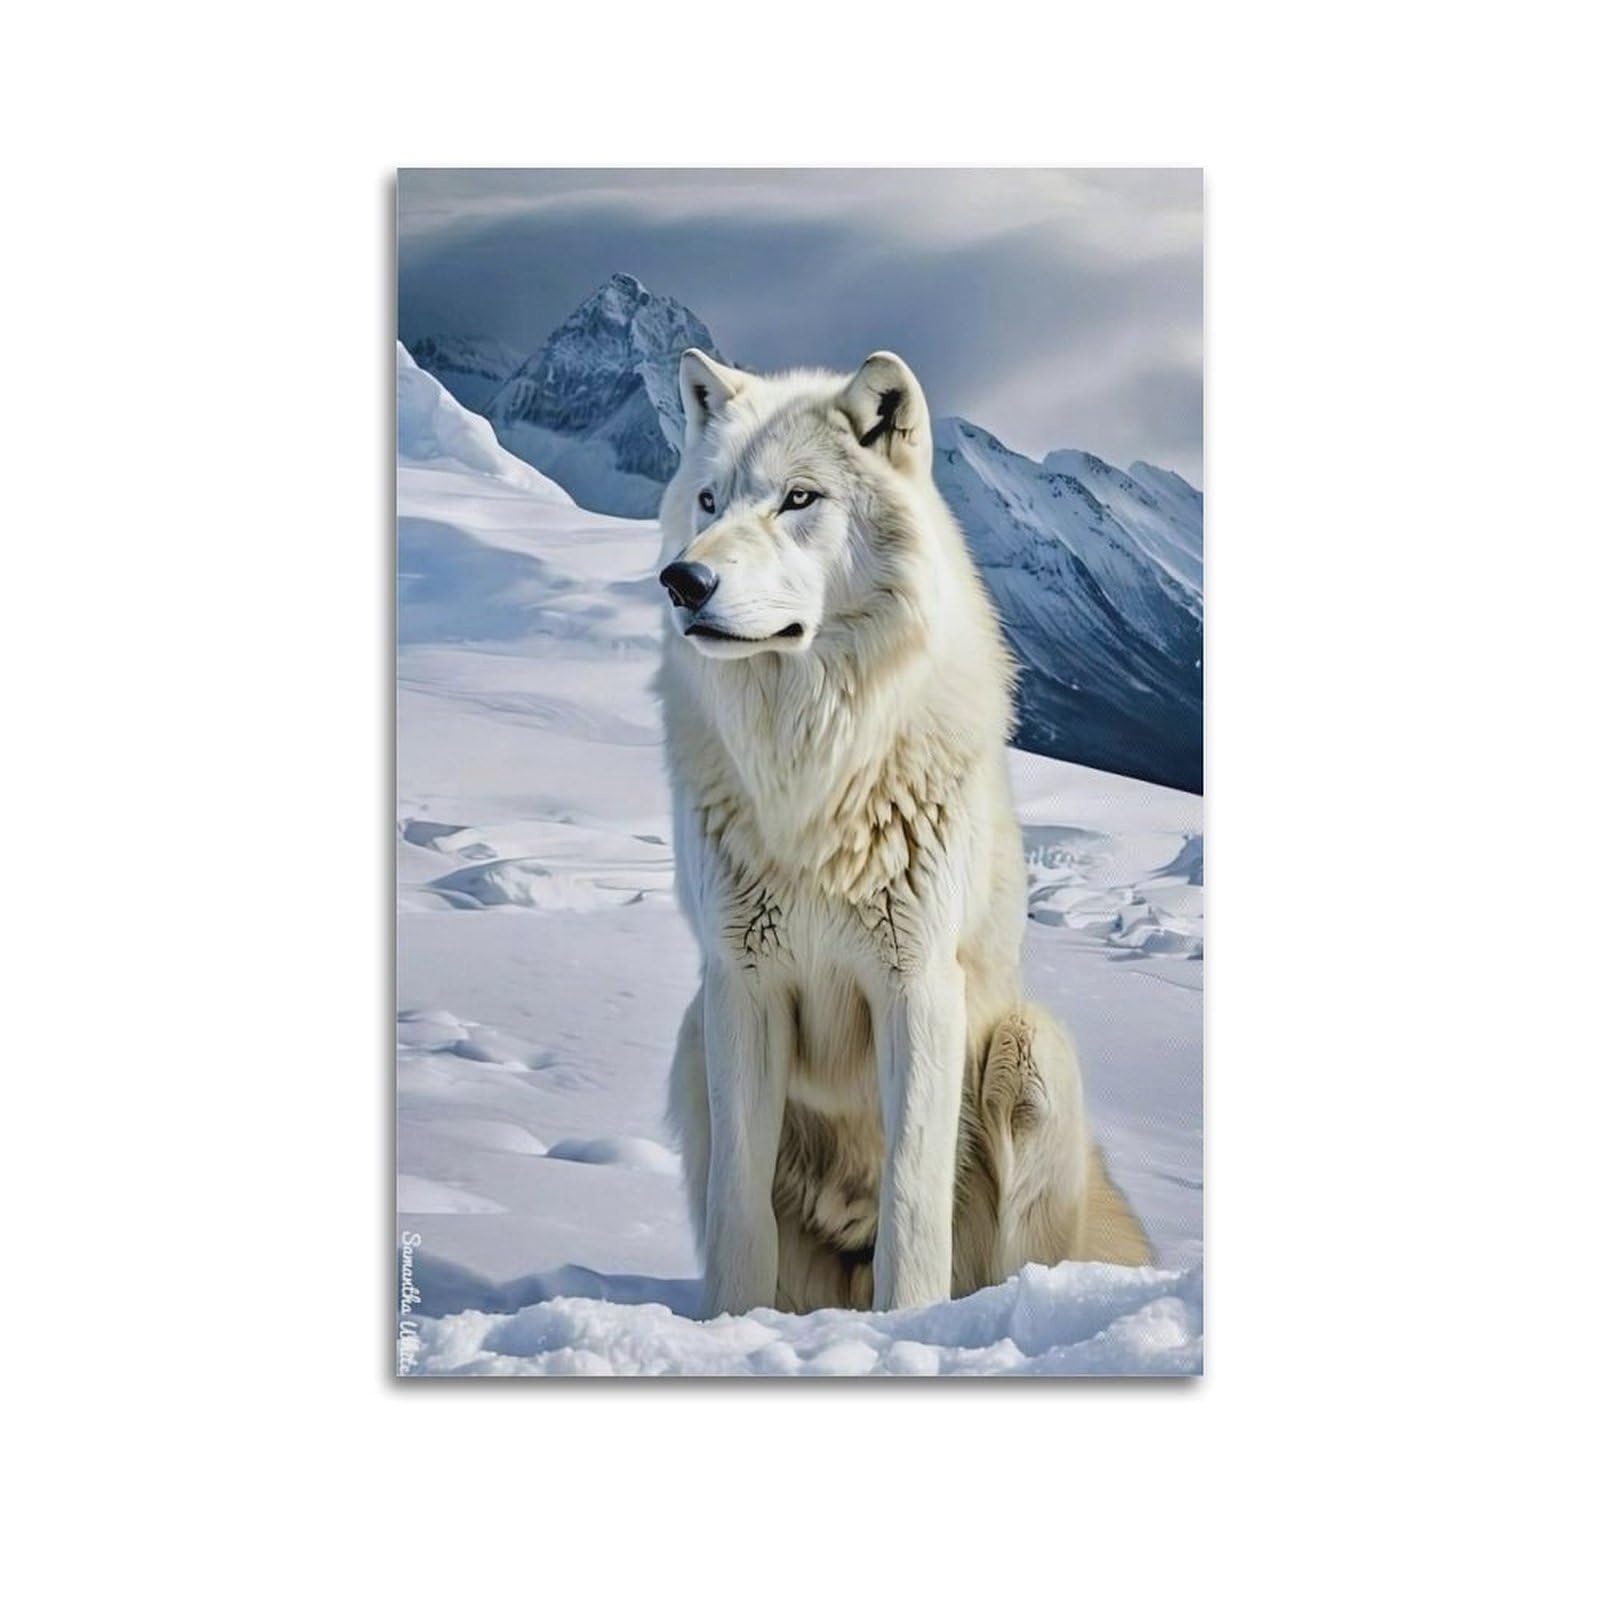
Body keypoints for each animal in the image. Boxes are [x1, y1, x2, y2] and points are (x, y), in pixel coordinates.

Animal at [657, 347, 1150, 1316]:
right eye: (707, 499)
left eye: (798, 499)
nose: (683, 582)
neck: (813, 772)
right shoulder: (740, 986)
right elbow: (739, 1213)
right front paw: (731, 1327)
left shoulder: (916, 984)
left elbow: (913, 1202)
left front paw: (907, 1329)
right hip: (693, 1037)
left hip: (1032, 1051)